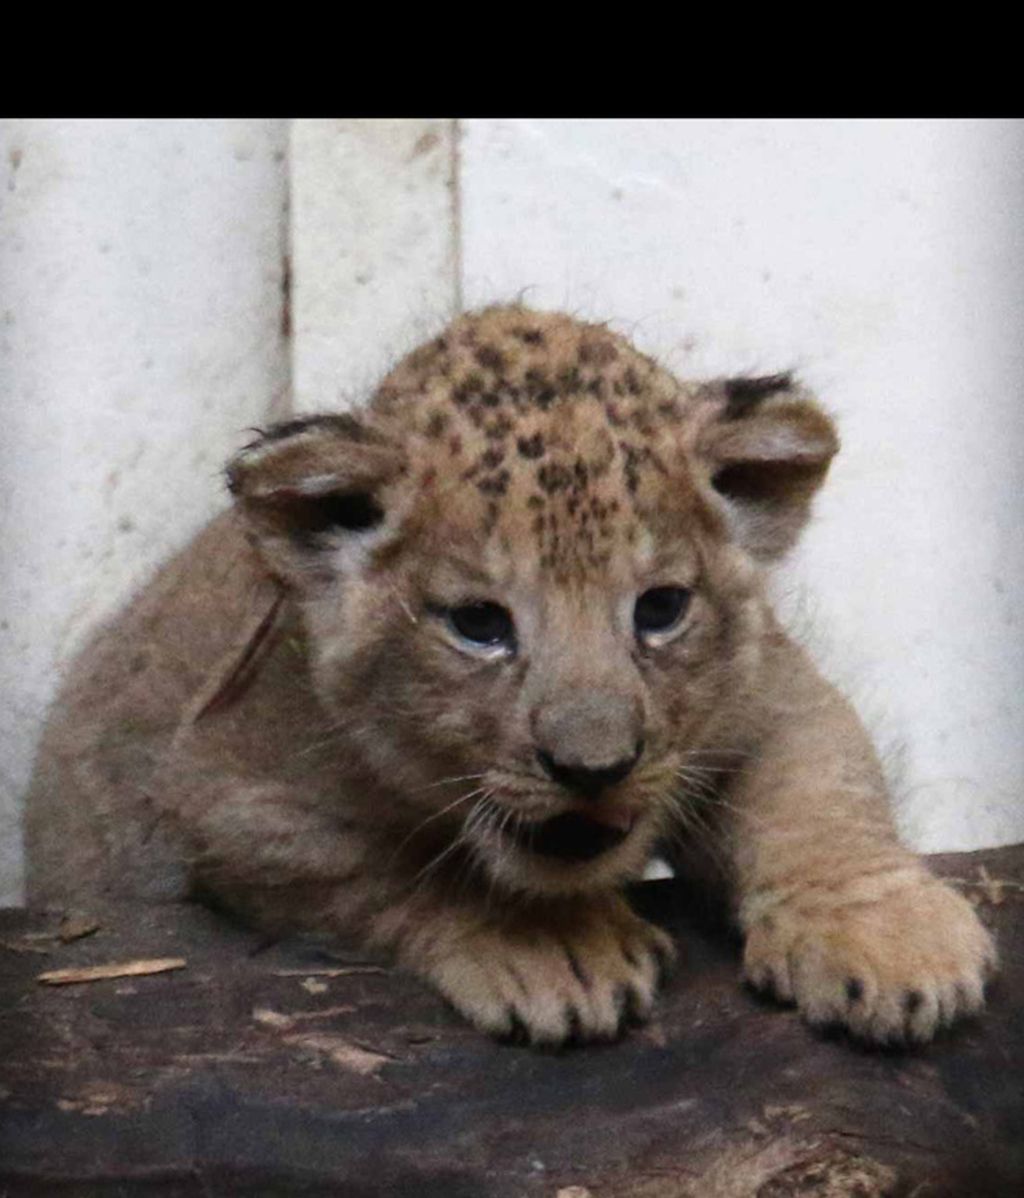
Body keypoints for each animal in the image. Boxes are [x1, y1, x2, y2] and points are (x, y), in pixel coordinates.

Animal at [25, 305, 996, 1046]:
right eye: (480, 626)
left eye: (659, 608)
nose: (593, 768)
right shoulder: (220, 793)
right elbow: (410, 869)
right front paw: (550, 946)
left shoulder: (767, 692)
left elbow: (821, 792)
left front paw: (892, 941)